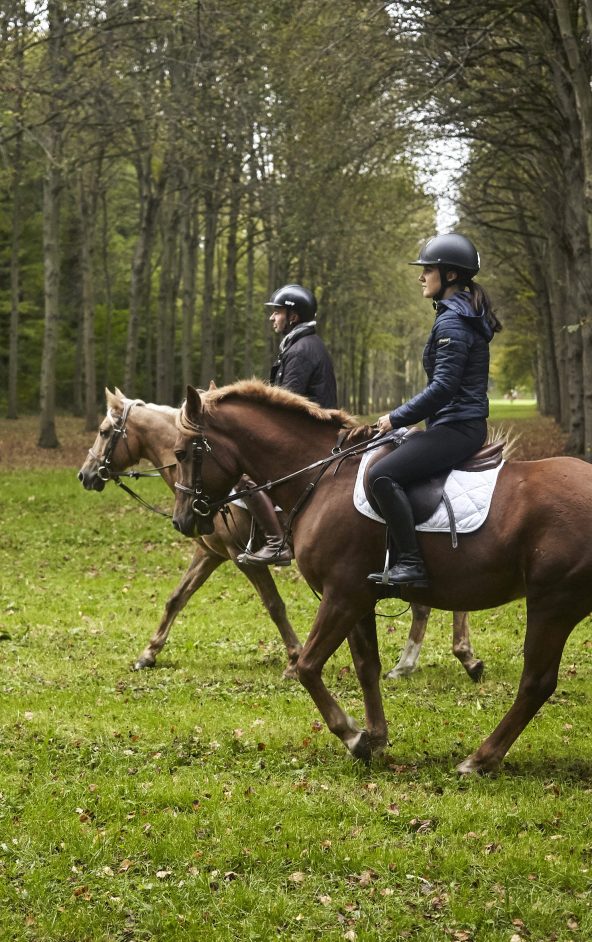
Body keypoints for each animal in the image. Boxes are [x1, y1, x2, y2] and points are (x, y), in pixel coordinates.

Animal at [77, 390, 480, 684]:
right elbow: (177, 598)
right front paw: (148, 653)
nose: (85, 475)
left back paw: (456, 656)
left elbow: (274, 605)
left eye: (103, 431)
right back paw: (429, 660)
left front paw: (293, 658)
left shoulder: (240, 557)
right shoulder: (210, 553)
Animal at [171, 382, 592, 776]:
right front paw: (375, 737)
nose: (182, 520)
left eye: (181, 453)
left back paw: (480, 758)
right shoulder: (359, 599)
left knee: (536, 682)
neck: (323, 478)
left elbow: (308, 665)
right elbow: (366, 667)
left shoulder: (343, 595)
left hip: (552, 604)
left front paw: (352, 736)